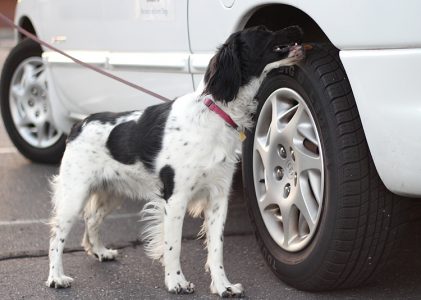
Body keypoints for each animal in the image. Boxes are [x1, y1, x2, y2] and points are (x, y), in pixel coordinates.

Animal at [46, 25, 304, 298]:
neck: (214, 114)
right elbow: (174, 246)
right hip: (75, 194)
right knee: (56, 236)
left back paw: (100, 252)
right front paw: (176, 282)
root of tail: (79, 124)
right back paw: (56, 277)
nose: (298, 27)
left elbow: (216, 249)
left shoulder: (218, 198)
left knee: (92, 220)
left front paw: (223, 286)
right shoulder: (176, 199)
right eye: (262, 31)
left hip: (111, 191)